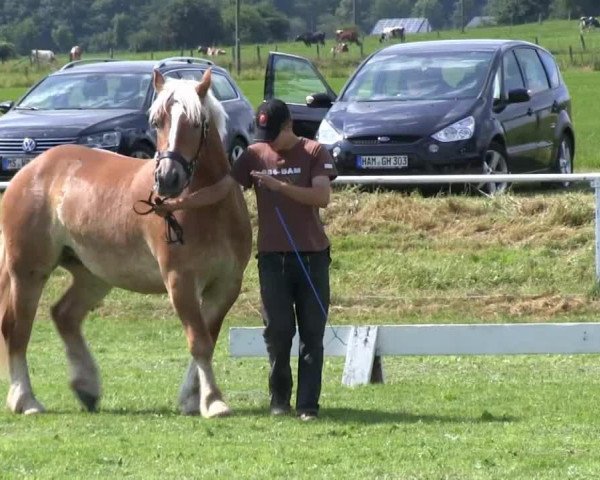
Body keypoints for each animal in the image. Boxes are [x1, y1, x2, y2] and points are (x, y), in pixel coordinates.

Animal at [0, 67, 252, 416]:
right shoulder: (181, 282)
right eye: (157, 121)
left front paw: (192, 398)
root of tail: (30, 171)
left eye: (195, 122)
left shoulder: (226, 286)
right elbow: (198, 341)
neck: (203, 206)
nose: (167, 178)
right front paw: (213, 400)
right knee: (16, 328)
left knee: (64, 314)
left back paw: (86, 386)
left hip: (93, 276)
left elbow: (208, 339)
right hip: (28, 272)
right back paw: (25, 399)